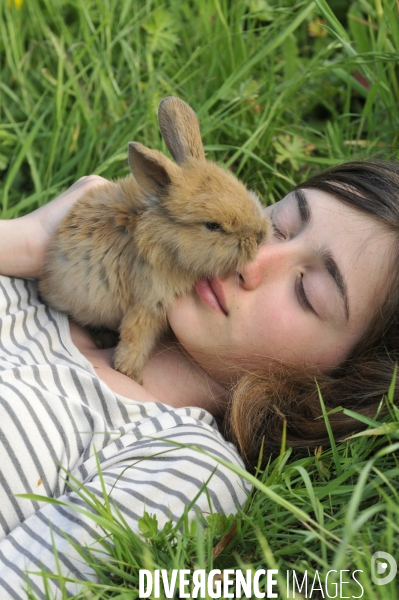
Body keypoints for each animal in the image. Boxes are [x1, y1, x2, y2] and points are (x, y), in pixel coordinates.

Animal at [39, 96, 272, 382]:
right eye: (213, 226)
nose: (260, 236)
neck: (165, 239)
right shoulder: (149, 302)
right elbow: (135, 338)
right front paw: (129, 373)